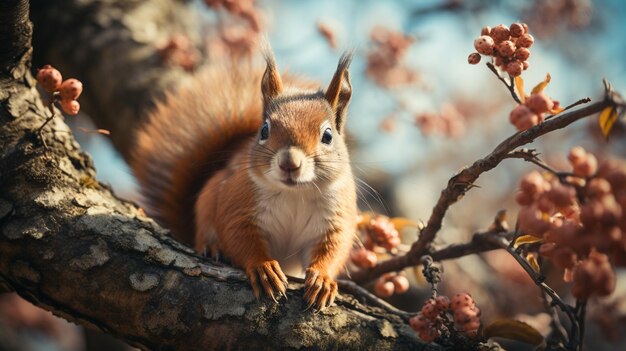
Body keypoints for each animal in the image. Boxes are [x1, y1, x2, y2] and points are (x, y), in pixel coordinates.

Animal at [130, 44, 356, 310]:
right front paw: (263, 268)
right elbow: (239, 237)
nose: (289, 163)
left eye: (328, 136)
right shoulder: (238, 204)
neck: (294, 193)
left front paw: (322, 279)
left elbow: (332, 249)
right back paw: (212, 247)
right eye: (264, 130)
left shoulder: (335, 219)